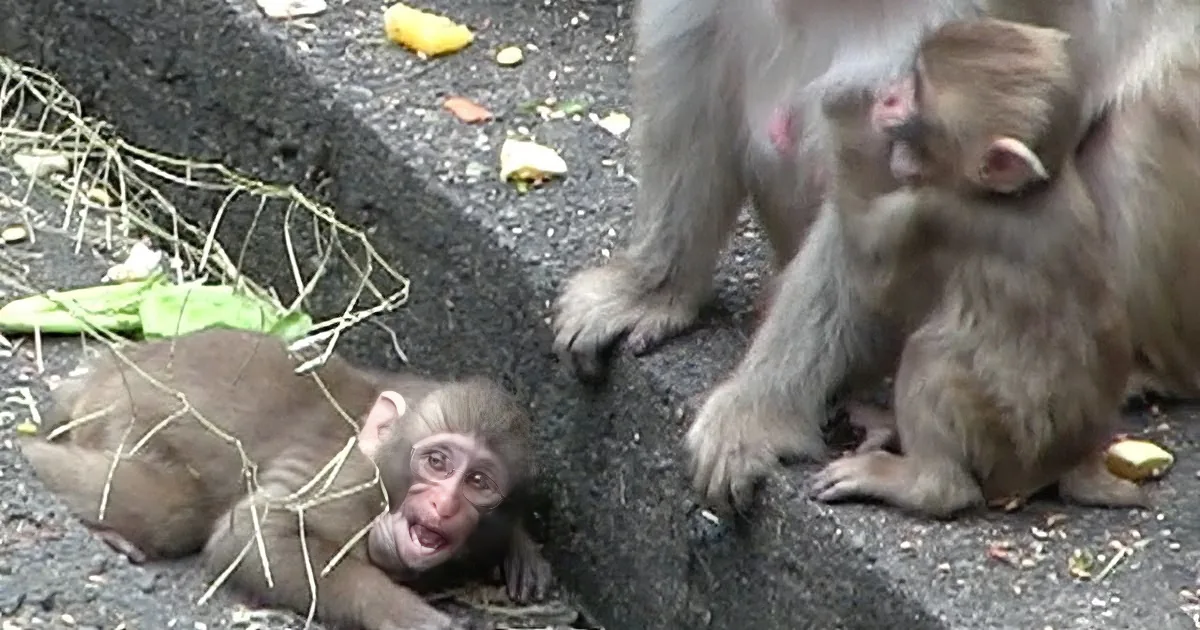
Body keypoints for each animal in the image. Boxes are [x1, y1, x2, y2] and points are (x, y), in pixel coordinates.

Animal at [19, 327, 553, 630]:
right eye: (437, 463)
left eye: (478, 482)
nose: (444, 504)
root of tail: (103, 372)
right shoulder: (348, 482)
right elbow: (255, 536)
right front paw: (411, 617)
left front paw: (521, 549)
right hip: (124, 413)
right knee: (175, 508)